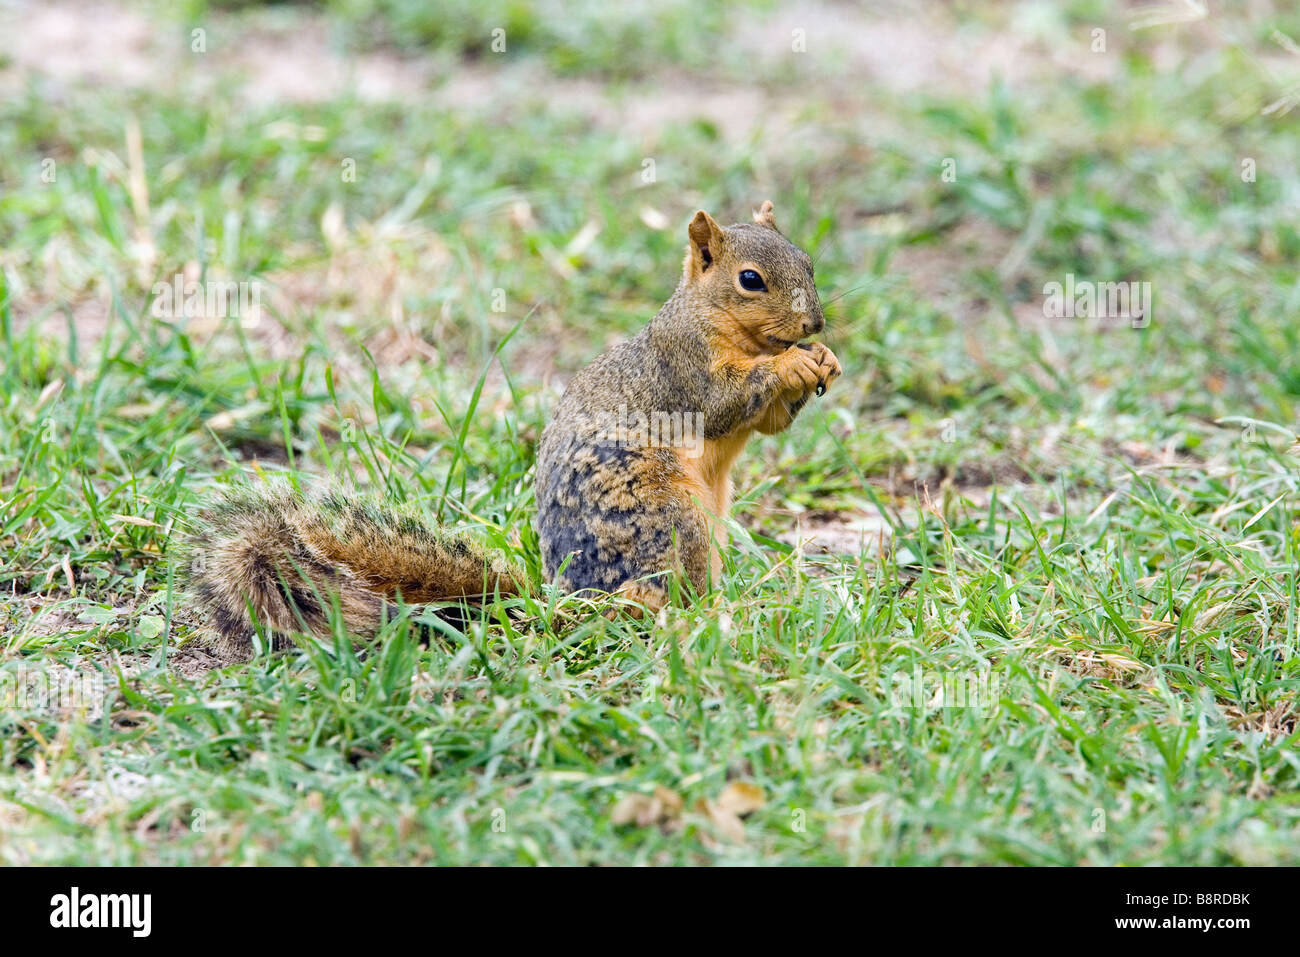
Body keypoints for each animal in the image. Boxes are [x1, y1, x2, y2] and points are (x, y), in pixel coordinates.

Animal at [183, 201, 841, 658]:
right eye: (750, 280)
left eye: (809, 261)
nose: (814, 323)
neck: (722, 324)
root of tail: (569, 601)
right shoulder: (683, 368)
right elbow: (723, 402)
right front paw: (794, 364)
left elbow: (770, 423)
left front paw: (824, 360)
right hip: (670, 517)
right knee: (656, 594)